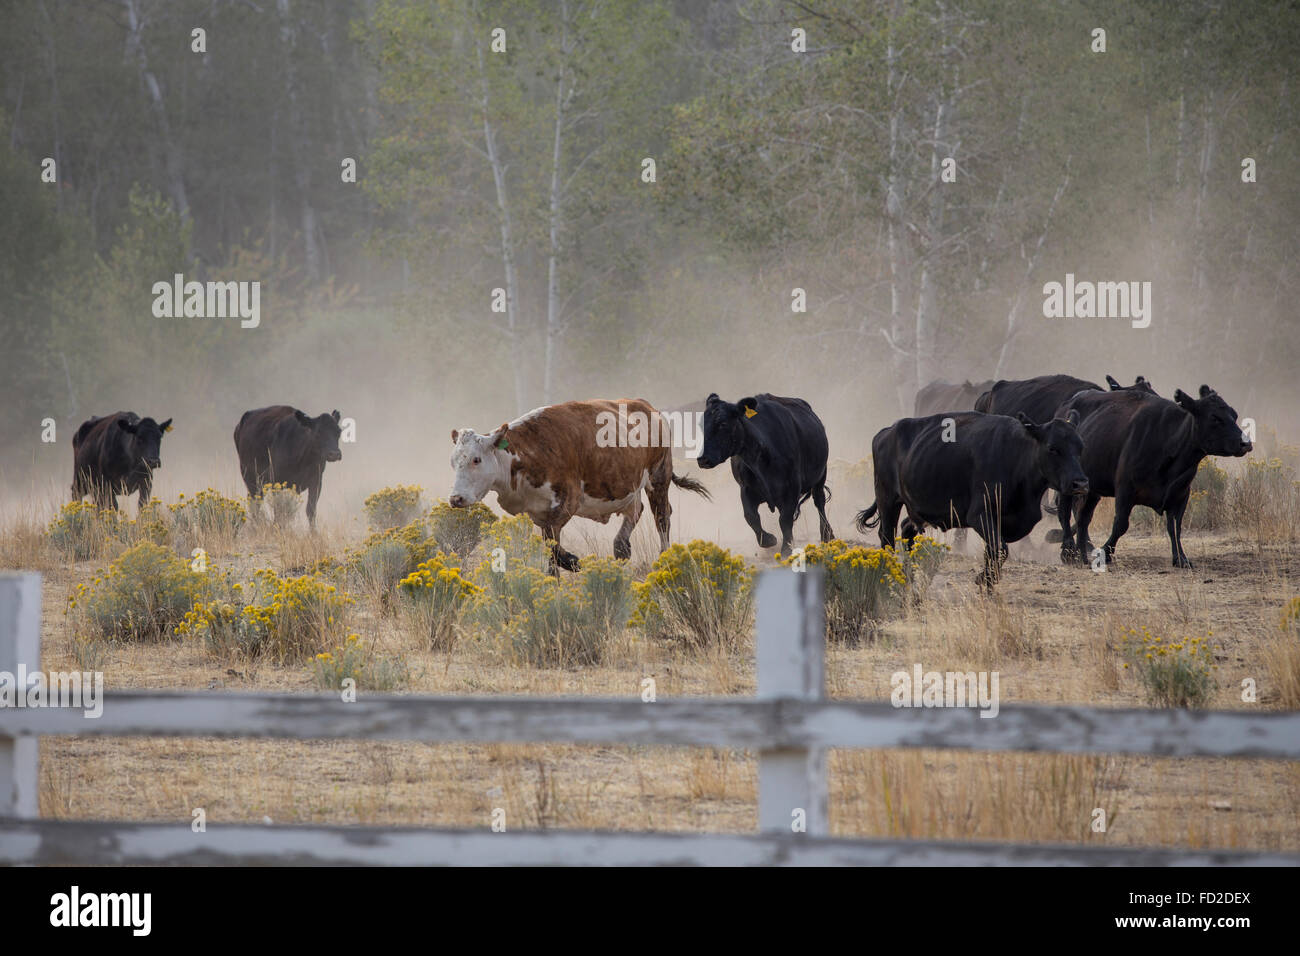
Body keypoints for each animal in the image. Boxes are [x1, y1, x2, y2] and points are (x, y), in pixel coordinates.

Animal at [447, 400, 712, 572]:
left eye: (476, 459)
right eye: (453, 461)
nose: (455, 499)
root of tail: (648, 408)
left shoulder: (567, 502)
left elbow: (555, 549)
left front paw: (574, 561)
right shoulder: (540, 514)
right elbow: (550, 551)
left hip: (658, 478)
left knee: (662, 518)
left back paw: (664, 558)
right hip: (632, 488)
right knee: (635, 513)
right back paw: (621, 548)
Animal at [702, 395, 832, 561]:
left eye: (723, 423)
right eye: (702, 425)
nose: (702, 459)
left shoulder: (792, 488)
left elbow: (785, 520)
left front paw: (786, 549)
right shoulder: (746, 489)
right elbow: (751, 517)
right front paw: (769, 540)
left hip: (821, 476)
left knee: (819, 502)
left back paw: (827, 536)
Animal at [852, 413, 1086, 590]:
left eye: (1080, 447)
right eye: (1052, 448)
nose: (1080, 483)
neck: (1018, 456)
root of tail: (885, 433)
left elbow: (994, 553)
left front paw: (987, 584)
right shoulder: (980, 516)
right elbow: (1000, 549)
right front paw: (983, 579)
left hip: (916, 510)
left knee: (907, 529)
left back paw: (909, 576)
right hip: (888, 501)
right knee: (887, 538)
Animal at [1055, 385, 1248, 572]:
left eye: (1234, 415)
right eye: (1214, 417)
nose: (1245, 443)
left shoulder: (1181, 495)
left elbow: (1175, 527)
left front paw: (1181, 558)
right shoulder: (1125, 489)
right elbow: (1121, 524)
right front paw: (1104, 553)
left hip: (1093, 490)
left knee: (1083, 519)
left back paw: (1080, 555)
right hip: (1069, 485)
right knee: (1064, 514)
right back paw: (1068, 553)